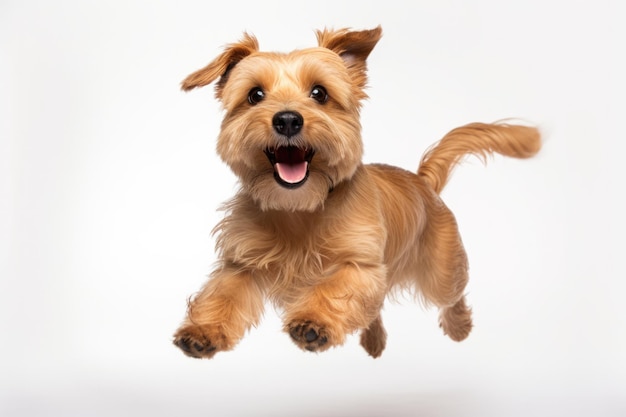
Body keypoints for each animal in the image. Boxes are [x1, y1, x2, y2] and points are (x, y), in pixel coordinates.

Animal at [173, 26, 540, 358]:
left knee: (452, 296)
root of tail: (423, 182)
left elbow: (336, 286)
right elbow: (223, 294)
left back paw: (458, 326)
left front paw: (314, 321)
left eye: (319, 93)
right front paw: (203, 330)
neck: (299, 210)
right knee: (374, 308)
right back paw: (374, 340)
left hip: (441, 272)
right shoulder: (241, 263)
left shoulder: (361, 265)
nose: (288, 120)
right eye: (255, 95)